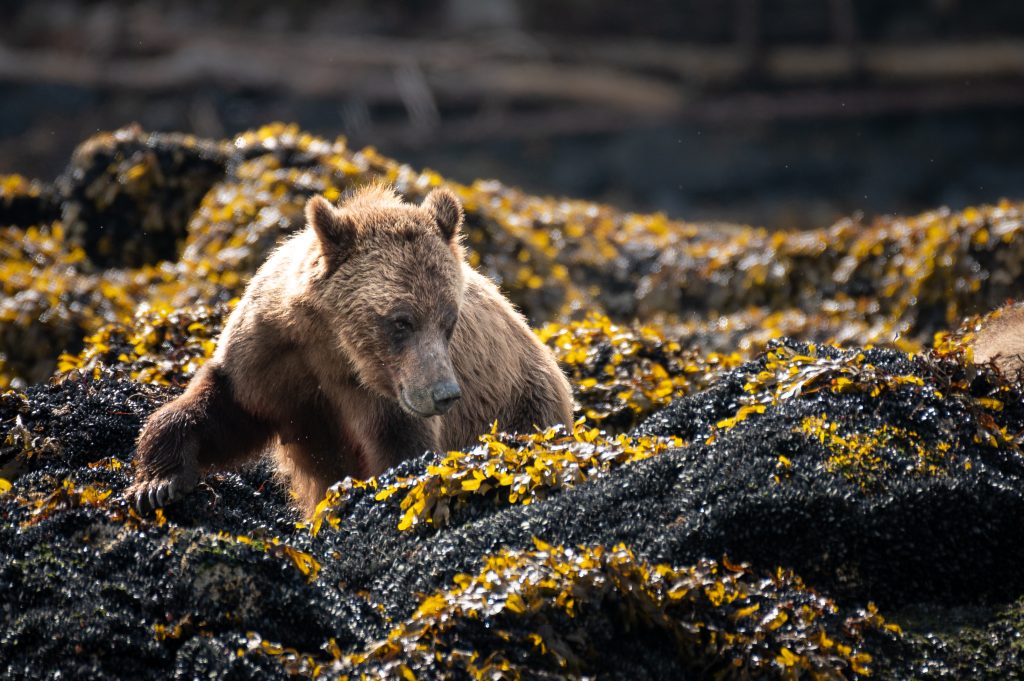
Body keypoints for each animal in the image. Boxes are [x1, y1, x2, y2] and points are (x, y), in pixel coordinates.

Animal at [128, 184, 574, 516]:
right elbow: (223, 409)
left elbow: (401, 449)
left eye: (449, 320)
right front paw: (158, 484)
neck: (336, 345)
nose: (444, 394)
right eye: (401, 320)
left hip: (524, 406)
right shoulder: (273, 355)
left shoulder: (385, 397)